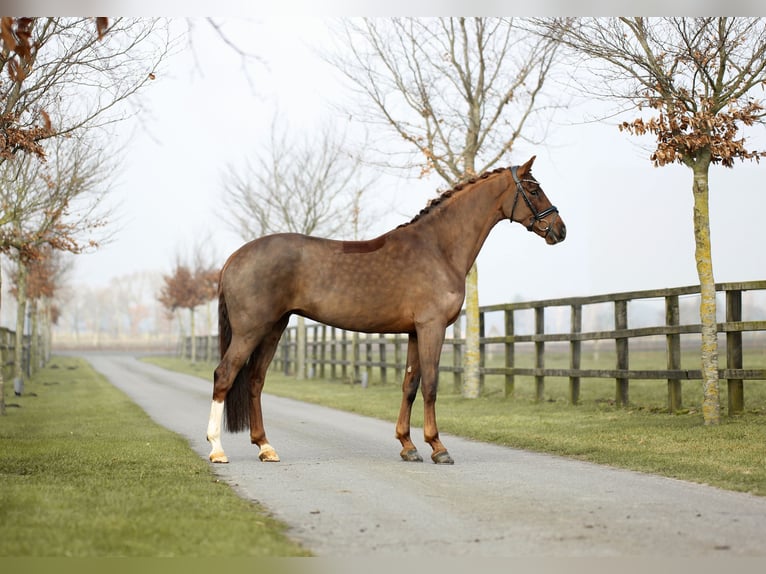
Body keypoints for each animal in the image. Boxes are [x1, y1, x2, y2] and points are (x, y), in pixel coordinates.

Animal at [207, 155, 568, 466]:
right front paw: (438, 448)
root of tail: (235, 257)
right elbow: (431, 384)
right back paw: (217, 450)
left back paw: (265, 447)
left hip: (274, 328)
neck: (438, 247)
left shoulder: (413, 332)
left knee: (255, 380)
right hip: (251, 330)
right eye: (534, 190)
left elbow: (410, 385)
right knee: (225, 375)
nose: (560, 229)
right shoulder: (432, 327)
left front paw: (408, 446)